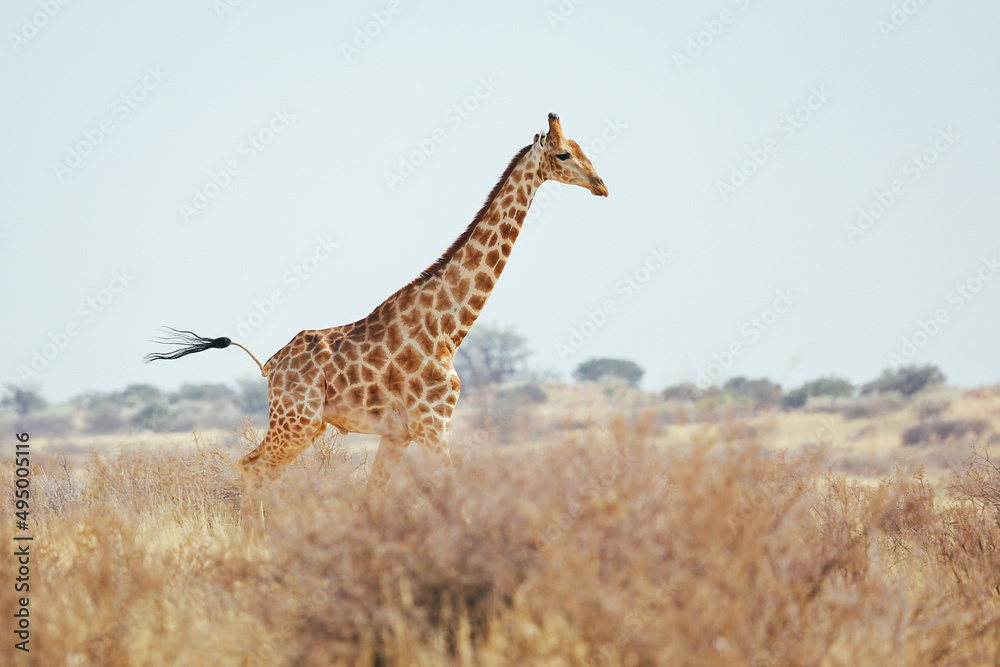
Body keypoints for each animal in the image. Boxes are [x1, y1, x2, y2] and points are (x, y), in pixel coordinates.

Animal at [146, 113, 608, 516]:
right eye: (564, 154)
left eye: (582, 149)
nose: (601, 185)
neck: (448, 329)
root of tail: (270, 366)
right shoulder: (431, 423)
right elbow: (451, 495)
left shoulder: (398, 434)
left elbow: (373, 497)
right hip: (298, 420)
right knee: (252, 466)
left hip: (306, 424)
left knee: (261, 471)